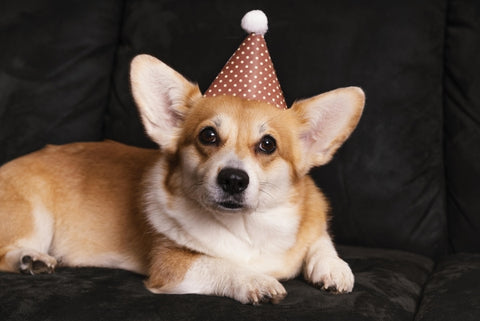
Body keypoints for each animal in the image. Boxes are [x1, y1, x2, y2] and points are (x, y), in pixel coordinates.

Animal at [0, 54, 364, 302]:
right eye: (208, 136)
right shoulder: (172, 265)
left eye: (268, 144)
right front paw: (255, 280)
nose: (234, 179)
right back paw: (29, 258)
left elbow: (320, 241)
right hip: (36, 216)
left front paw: (333, 267)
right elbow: (220, 265)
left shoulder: (312, 224)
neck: (250, 226)